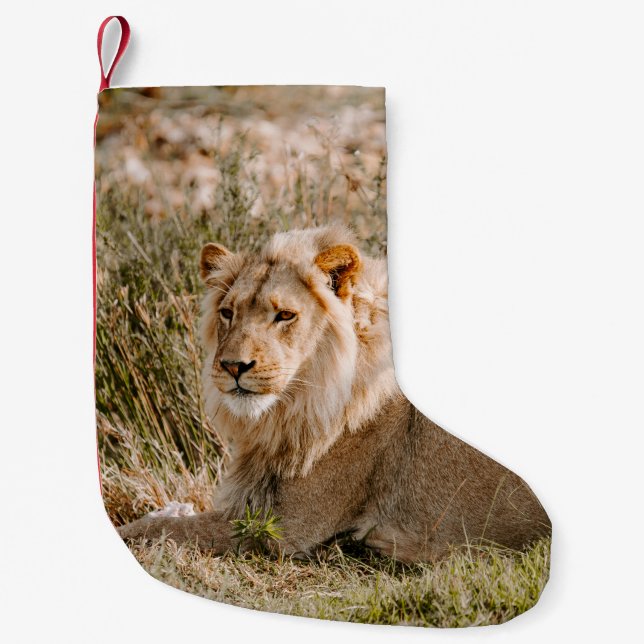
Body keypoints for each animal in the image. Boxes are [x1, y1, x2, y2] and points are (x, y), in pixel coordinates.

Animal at [117, 225, 551, 562]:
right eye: (228, 313)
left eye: (284, 315)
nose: (233, 366)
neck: (291, 411)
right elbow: (165, 519)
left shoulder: (282, 529)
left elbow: (164, 529)